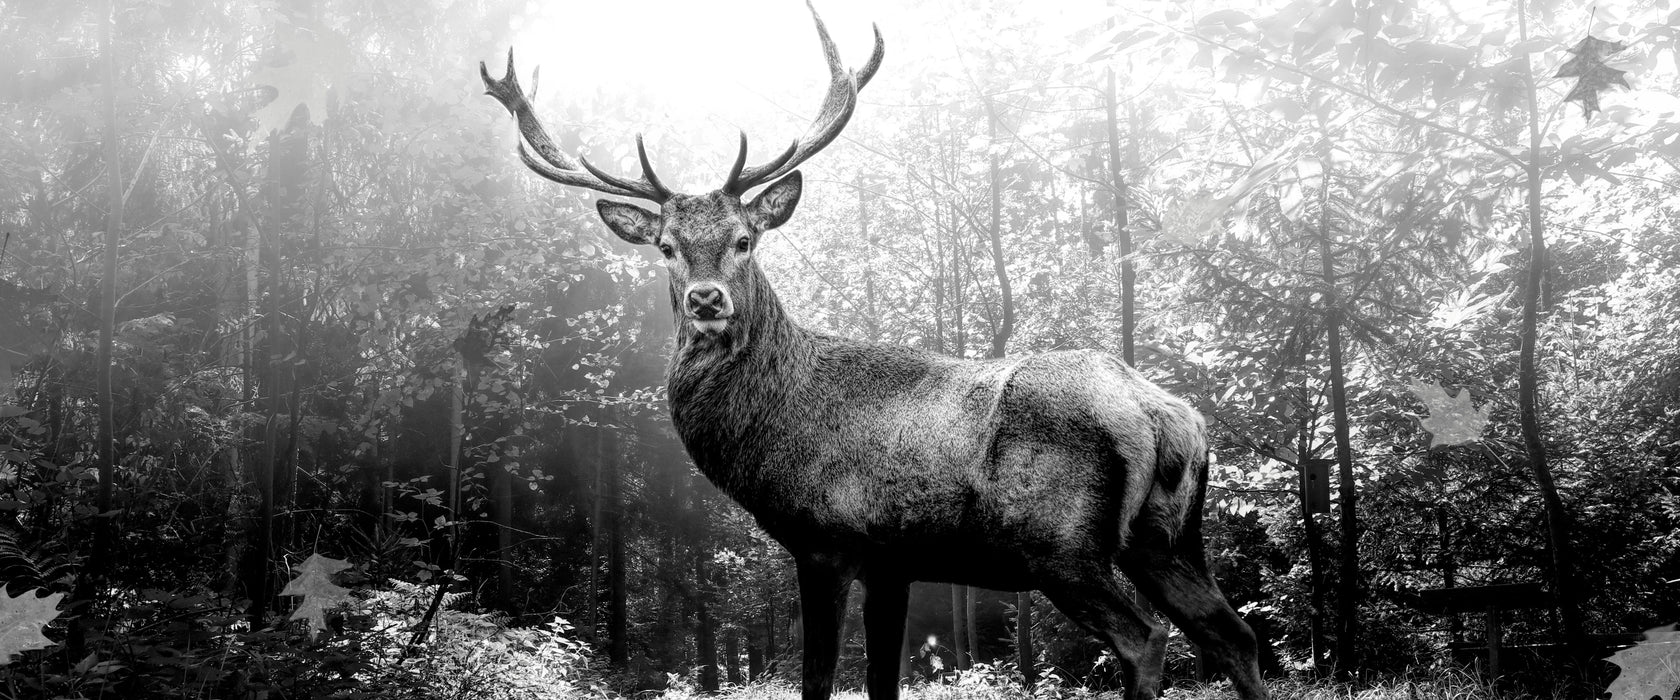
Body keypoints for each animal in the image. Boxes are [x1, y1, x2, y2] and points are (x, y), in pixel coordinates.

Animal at [473, 2, 1263, 694]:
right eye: (666, 246)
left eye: (744, 239)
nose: (706, 300)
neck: (772, 427)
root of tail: (1165, 415)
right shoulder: (895, 560)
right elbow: (884, 678)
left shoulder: (826, 539)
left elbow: (820, 679)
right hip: (1167, 537)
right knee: (1233, 634)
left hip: (1060, 542)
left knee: (1147, 637)